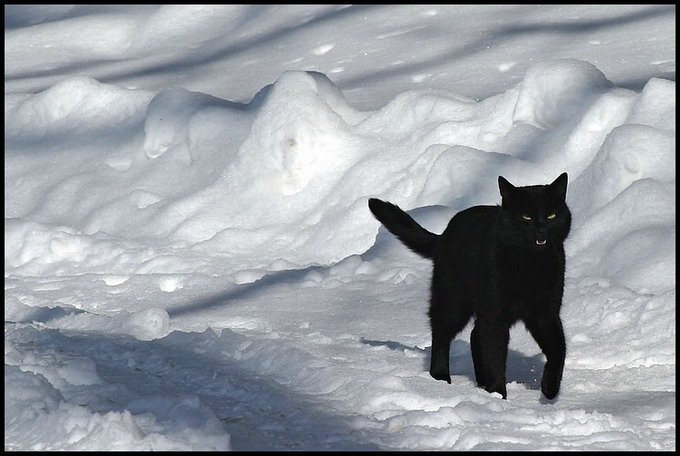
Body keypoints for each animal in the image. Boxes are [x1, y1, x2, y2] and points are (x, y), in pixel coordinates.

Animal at [370, 174, 572, 400]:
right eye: (526, 217)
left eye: (552, 215)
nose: (541, 228)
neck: (530, 265)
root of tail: (444, 234)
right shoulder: (495, 314)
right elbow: (495, 355)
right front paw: (498, 395)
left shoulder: (545, 313)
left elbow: (559, 349)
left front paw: (550, 388)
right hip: (453, 302)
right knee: (442, 334)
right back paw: (441, 378)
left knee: (475, 336)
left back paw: (481, 383)